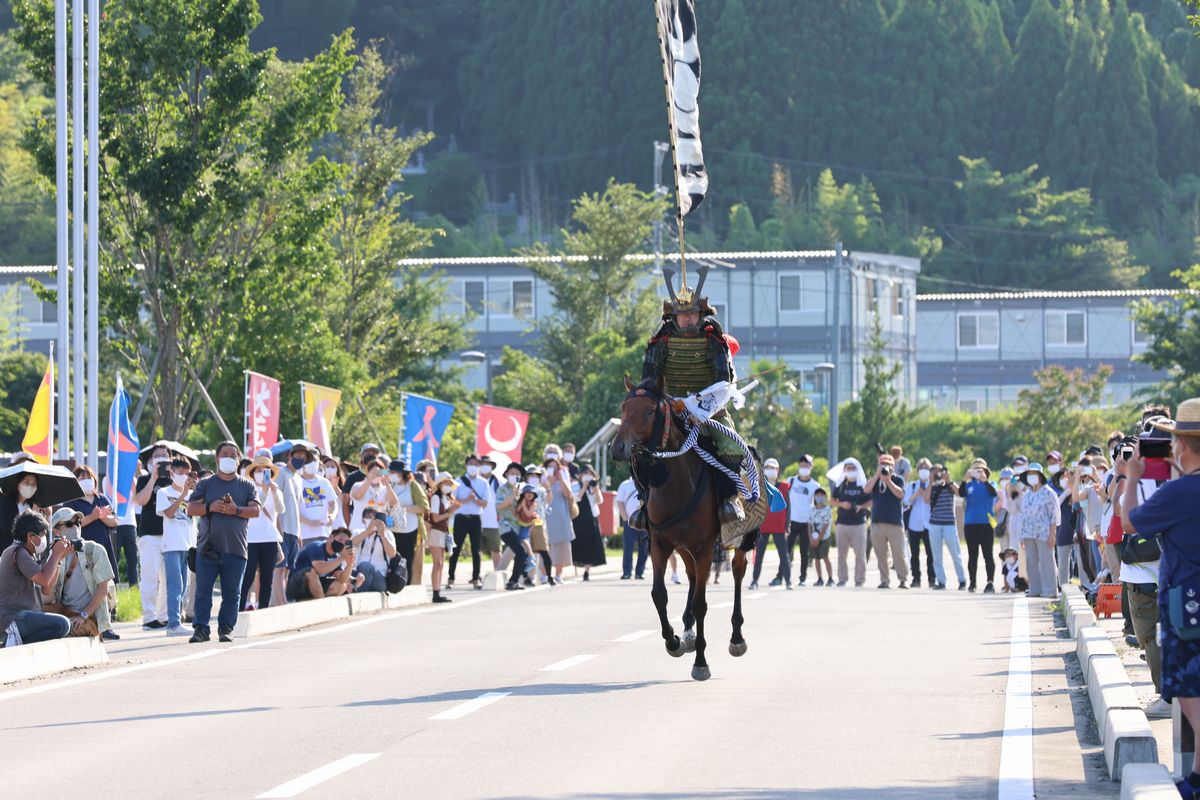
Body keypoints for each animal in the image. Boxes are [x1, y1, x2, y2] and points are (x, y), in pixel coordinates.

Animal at [614, 376, 744, 681]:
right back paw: (687, 631)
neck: (676, 485)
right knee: (692, 575)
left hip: (742, 539)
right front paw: (673, 641)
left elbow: (701, 603)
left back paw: (736, 637)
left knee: (737, 572)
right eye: (623, 408)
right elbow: (658, 594)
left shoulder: (705, 547)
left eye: (650, 411)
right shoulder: (660, 544)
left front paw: (701, 662)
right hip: (683, 548)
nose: (617, 448)